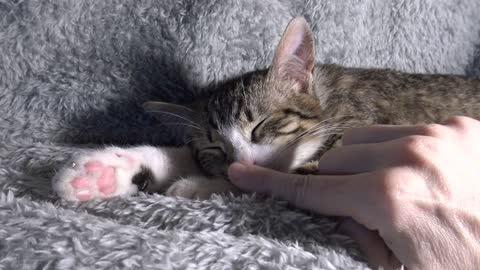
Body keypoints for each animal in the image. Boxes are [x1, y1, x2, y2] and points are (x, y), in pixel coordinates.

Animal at [52, 16, 480, 201]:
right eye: (215, 146)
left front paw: (199, 184)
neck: (328, 103)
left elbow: (281, 175)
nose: (242, 160)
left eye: (261, 126)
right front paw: (105, 171)